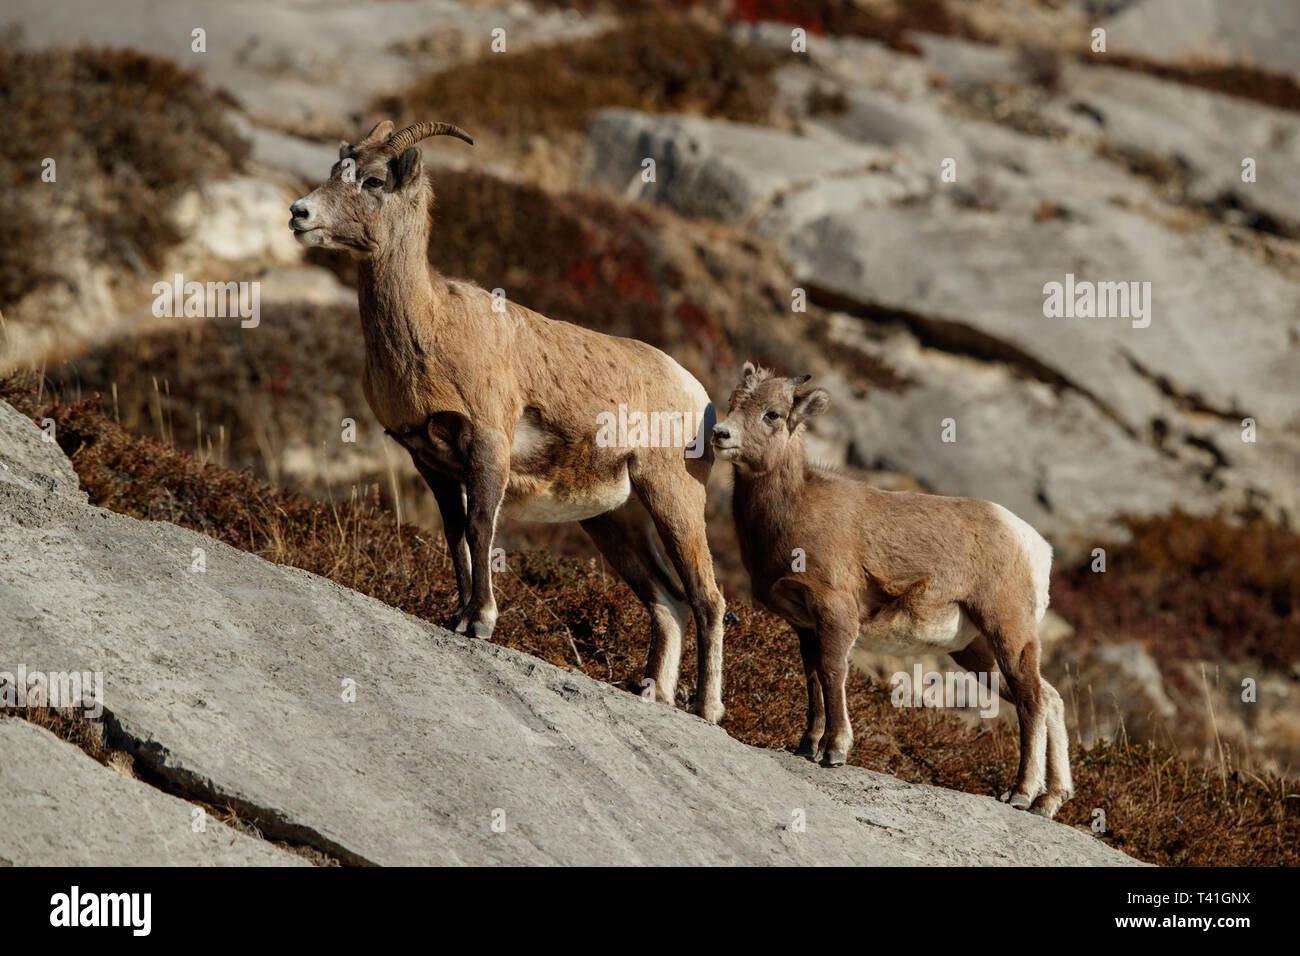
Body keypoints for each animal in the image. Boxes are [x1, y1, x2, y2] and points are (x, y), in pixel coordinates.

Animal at [288, 119, 728, 723]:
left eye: (374, 180)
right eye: (338, 170)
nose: (299, 213)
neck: (433, 325)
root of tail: (697, 395)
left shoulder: (487, 448)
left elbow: (480, 527)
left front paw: (481, 622)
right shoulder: (430, 461)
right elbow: (455, 535)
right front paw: (457, 618)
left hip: (672, 497)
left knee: (707, 598)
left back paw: (707, 710)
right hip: (613, 521)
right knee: (668, 602)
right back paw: (653, 693)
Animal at [717, 361, 1071, 816]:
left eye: (772, 414)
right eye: (733, 401)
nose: (720, 434)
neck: (793, 511)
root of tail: (1036, 547)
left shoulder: (835, 613)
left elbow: (833, 673)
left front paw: (834, 751)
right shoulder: (805, 627)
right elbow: (813, 679)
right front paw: (806, 747)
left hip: (1007, 634)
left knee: (1032, 703)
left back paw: (1021, 794)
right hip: (975, 652)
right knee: (1050, 698)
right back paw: (1049, 801)